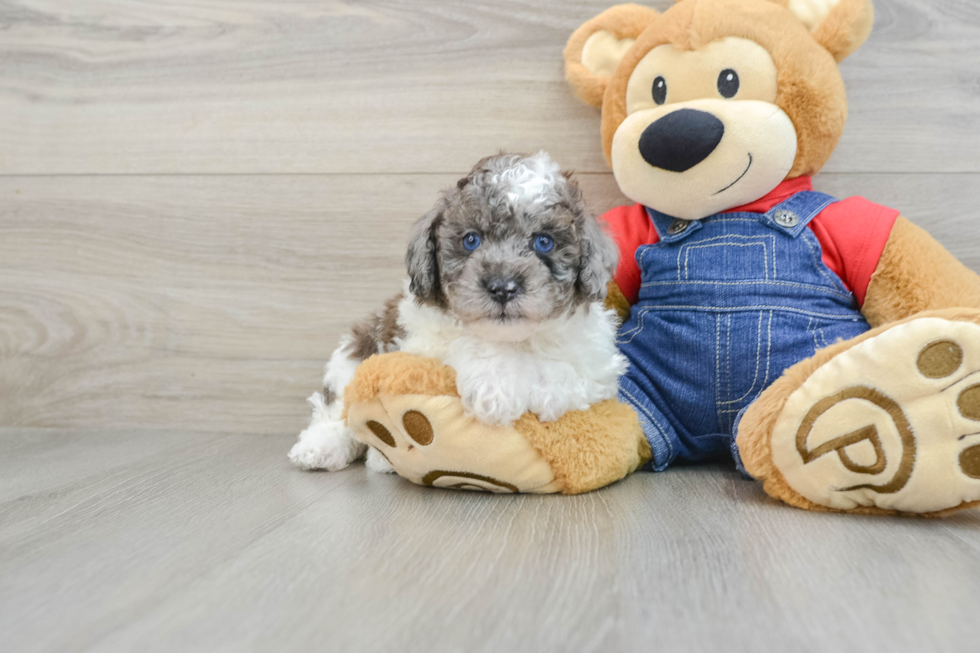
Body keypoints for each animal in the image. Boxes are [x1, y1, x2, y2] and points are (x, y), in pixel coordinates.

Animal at [290, 150, 628, 472]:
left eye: (544, 242)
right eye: (471, 240)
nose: (502, 287)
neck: (513, 339)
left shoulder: (596, 363)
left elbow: (564, 366)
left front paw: (537, 390)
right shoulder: (419, 335)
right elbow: (464, 343)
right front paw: (495, 386)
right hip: (354, 353)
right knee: (339, 410)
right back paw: (327, 447)